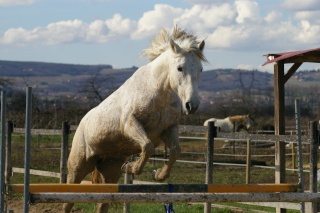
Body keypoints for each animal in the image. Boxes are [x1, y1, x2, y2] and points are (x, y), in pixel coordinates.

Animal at [63, 27, 208, 213]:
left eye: (201, 69)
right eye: (180, 68)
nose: (192, 105)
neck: (159, 93)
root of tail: (82, 122)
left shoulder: (169, 129)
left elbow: (175, 151)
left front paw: (158, 174)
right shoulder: (131, 125)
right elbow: (147, 146)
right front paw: (132, 167)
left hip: (109, 168)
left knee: (102, 202)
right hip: (79, 166)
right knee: (68, 199)